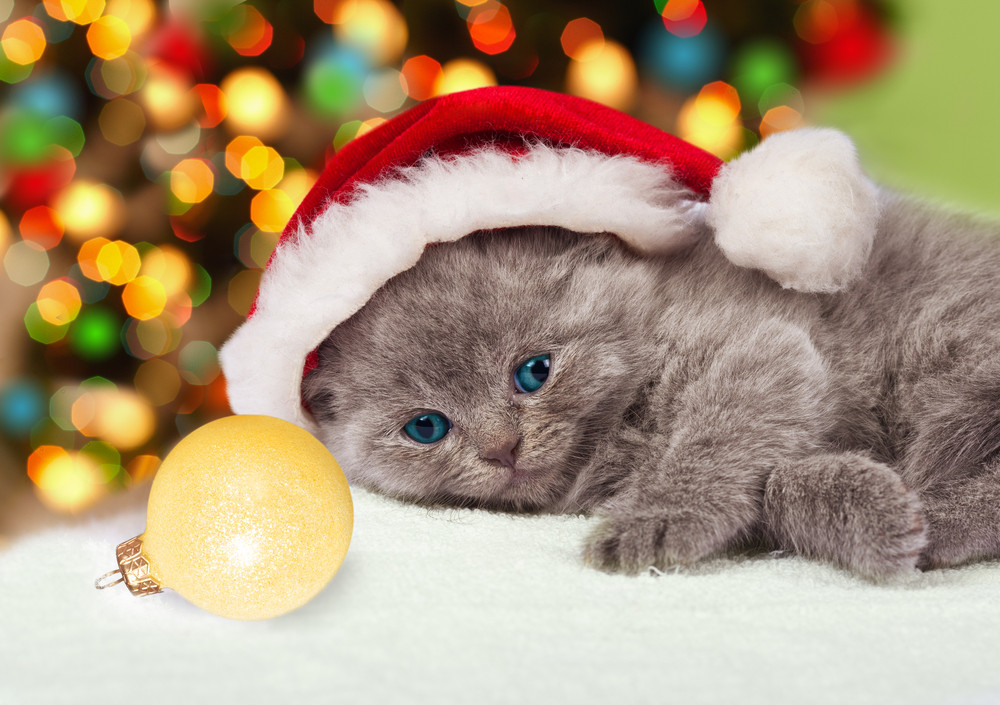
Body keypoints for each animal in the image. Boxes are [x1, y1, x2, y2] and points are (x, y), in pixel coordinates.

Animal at [302, 190, 1000, 580]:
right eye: (426, 427)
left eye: (534, 370)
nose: (502, 448)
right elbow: (774, 485)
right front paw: (879, 511)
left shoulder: (767, 349)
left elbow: (726, 449)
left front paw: (656, 521)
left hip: (942, 340)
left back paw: (942, 522)